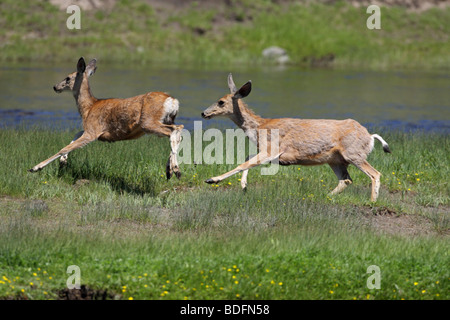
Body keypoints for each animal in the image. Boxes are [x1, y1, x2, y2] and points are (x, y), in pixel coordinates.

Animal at [29, 56, 183, 179]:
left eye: (67, 78)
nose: (55, 87)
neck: (89, 108)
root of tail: (172, 100)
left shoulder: (93, 130)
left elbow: (65, 147)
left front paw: (35, 167)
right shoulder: (91, 129)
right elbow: (74, 137)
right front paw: (63, 161)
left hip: (148, 122)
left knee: (175, 130)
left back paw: (175, 169)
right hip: (166, 120)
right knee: (178, 132)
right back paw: (170, 170)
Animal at [200, 74, 390, 201]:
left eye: (221, 102)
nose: (203, 113)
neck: (259, 128)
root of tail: (369, 136)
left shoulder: (273, 149)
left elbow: (243, 163)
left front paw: (212, 179)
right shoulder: (268, 152)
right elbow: (247, 158)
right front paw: (244, 186)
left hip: (354, 154)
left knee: (375, 174)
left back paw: (372, 201)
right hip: (335, 160)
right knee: (346, 180)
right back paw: (326, 196)